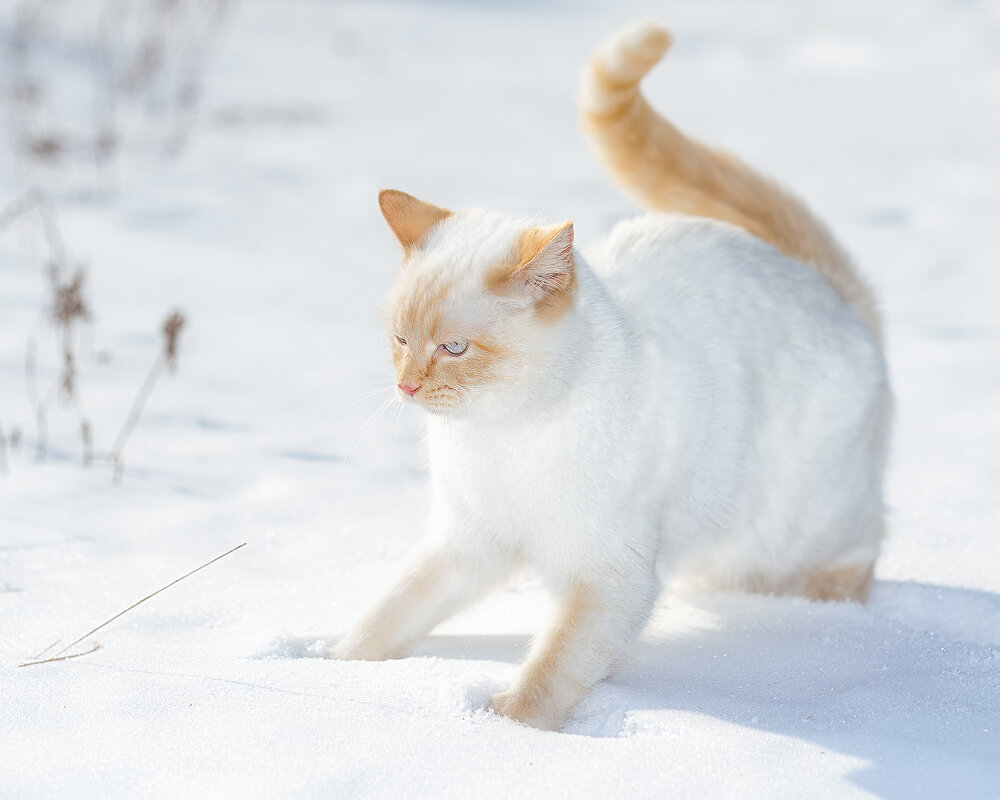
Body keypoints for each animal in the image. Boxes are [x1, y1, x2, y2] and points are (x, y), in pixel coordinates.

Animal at [330, 20, 892, 732]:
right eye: (400, 340)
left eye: (454, 348)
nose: (406, 386)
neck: (502, 436)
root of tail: (824, 284)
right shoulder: (467, 543)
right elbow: (392, 611)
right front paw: (333, 665)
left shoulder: (609, 576)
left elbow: (549, 672)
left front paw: (504, 729)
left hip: (800, 521)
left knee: (860, 547)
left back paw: (827, 608)